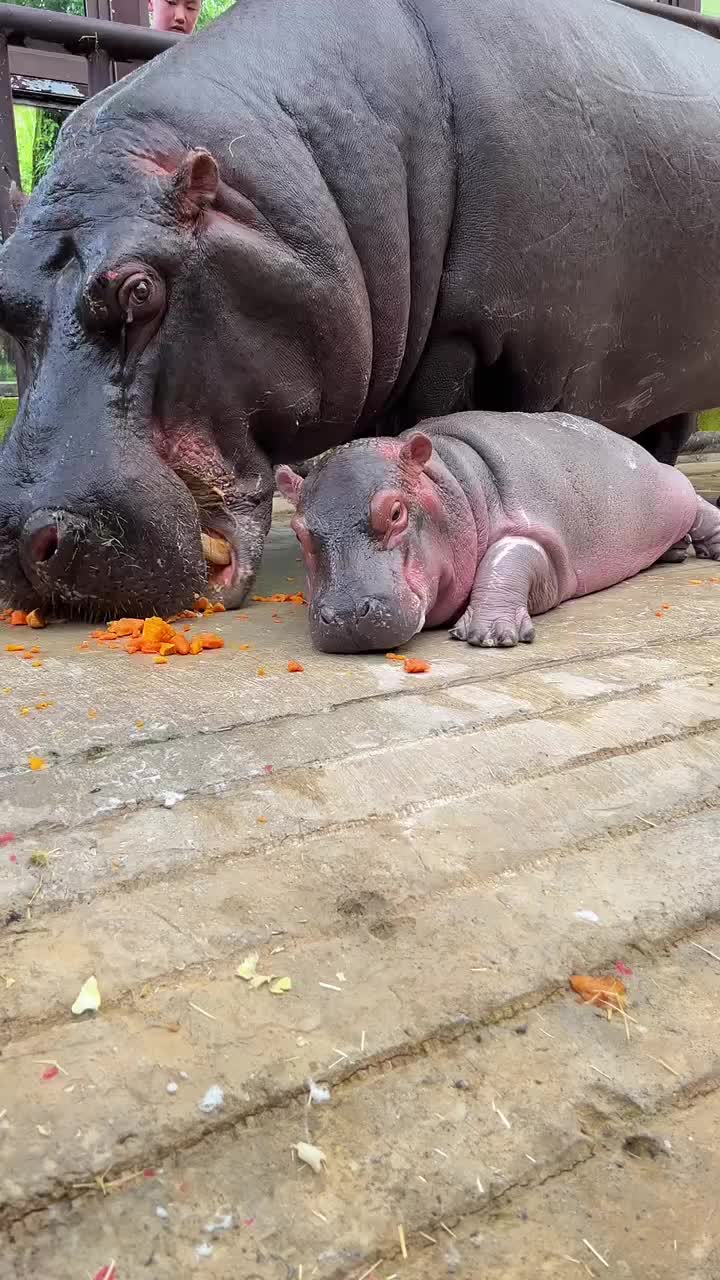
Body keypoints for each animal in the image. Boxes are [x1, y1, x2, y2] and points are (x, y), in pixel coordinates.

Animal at [276, 412, 720, 652]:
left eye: (397, 512)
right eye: (298, 532)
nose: (346, 616)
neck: (449, 481)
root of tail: (634, 446)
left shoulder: (536, 530)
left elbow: (507, 560)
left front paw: (488, 635)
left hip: (674, 488)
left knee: (700, 507)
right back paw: (676, 550)